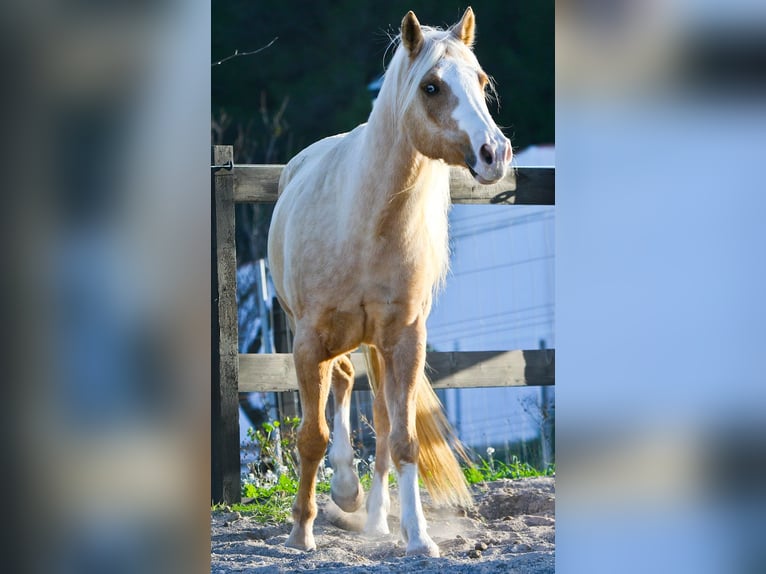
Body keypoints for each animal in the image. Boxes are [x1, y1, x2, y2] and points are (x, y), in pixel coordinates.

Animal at [268, 7, 512, 560]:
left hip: (373, 345)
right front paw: (300, 532)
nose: (494, 152)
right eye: (431, 86)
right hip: (323, 338)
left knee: (375, 416)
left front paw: (419, 538)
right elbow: (311, 436)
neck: (365, 222)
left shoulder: (404, 339)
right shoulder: (307, 341)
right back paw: (344, 493)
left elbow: (402, 439)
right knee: (339, 384)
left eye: (481, 80)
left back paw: (377, 517)